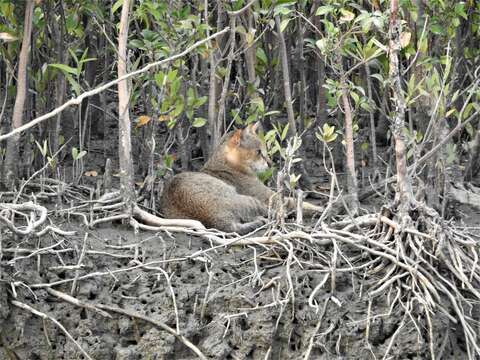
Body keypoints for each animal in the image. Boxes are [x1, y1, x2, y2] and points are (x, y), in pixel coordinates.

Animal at [161, 122, 322, 235]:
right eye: (258, 152)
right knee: (274, 213)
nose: (270, 163)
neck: (226, 163)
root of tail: (217, 220)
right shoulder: (271, 197)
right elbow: (298, 203)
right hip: (251, 201)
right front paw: (320, 208)